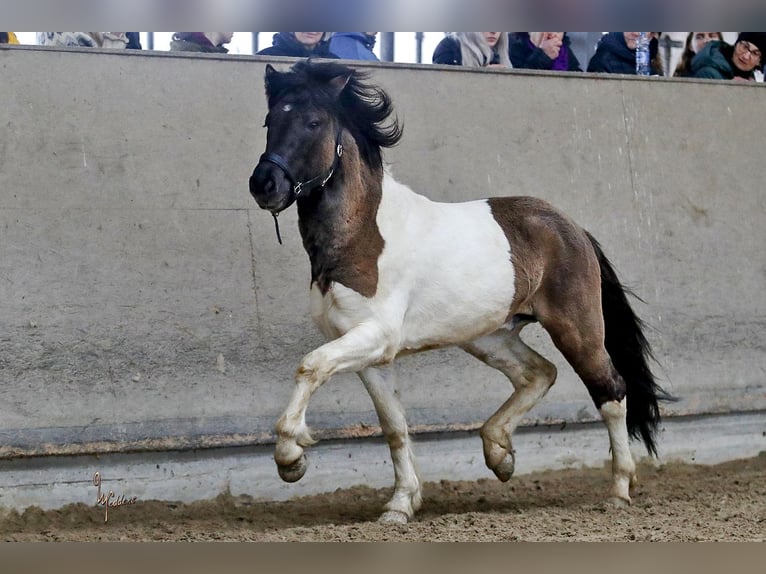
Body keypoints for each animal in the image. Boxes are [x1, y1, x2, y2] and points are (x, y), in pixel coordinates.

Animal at [249, 60, 676, 524]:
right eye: (269, 120)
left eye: (313, 122)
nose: (264, 184)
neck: (362, 237)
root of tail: (572, 227)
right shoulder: (368, 354)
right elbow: (394, 426)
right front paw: (401, 504)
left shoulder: (376, 336)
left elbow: (309, 366)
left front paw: (292, 458)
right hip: (490, 336)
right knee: (539, 373)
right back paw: (500, 454)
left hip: (576, 330)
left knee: (610, 391)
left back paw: (618, 490)